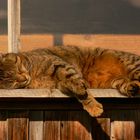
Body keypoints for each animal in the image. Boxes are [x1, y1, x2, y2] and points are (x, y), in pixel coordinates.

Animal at [0, 45, 139, 116]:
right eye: (14, 82)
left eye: (18, 68)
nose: (24, 78)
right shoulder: (61, 85)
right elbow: (80, 94)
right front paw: (92, 106)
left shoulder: (58, 63)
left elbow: (73, 79)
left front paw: (82, 90)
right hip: (117, 80)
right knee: (126, 83)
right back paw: (132, 88)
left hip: (131, 63)